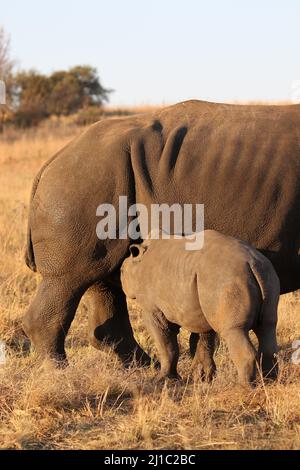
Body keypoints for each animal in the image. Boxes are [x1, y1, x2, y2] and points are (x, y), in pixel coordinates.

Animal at [120, 230, 280, 386]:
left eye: (121, 272)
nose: (121, 279)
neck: (138, 261)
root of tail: (252, 264)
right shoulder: (202, 305)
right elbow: (204, 338)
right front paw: (203, 379)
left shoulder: (151, 308)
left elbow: (165, 342)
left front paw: (162, 380)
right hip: (266, 275)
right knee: (267, 326)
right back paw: (270, 383)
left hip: (227, 280)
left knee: (234, 330)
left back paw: (243, 387)